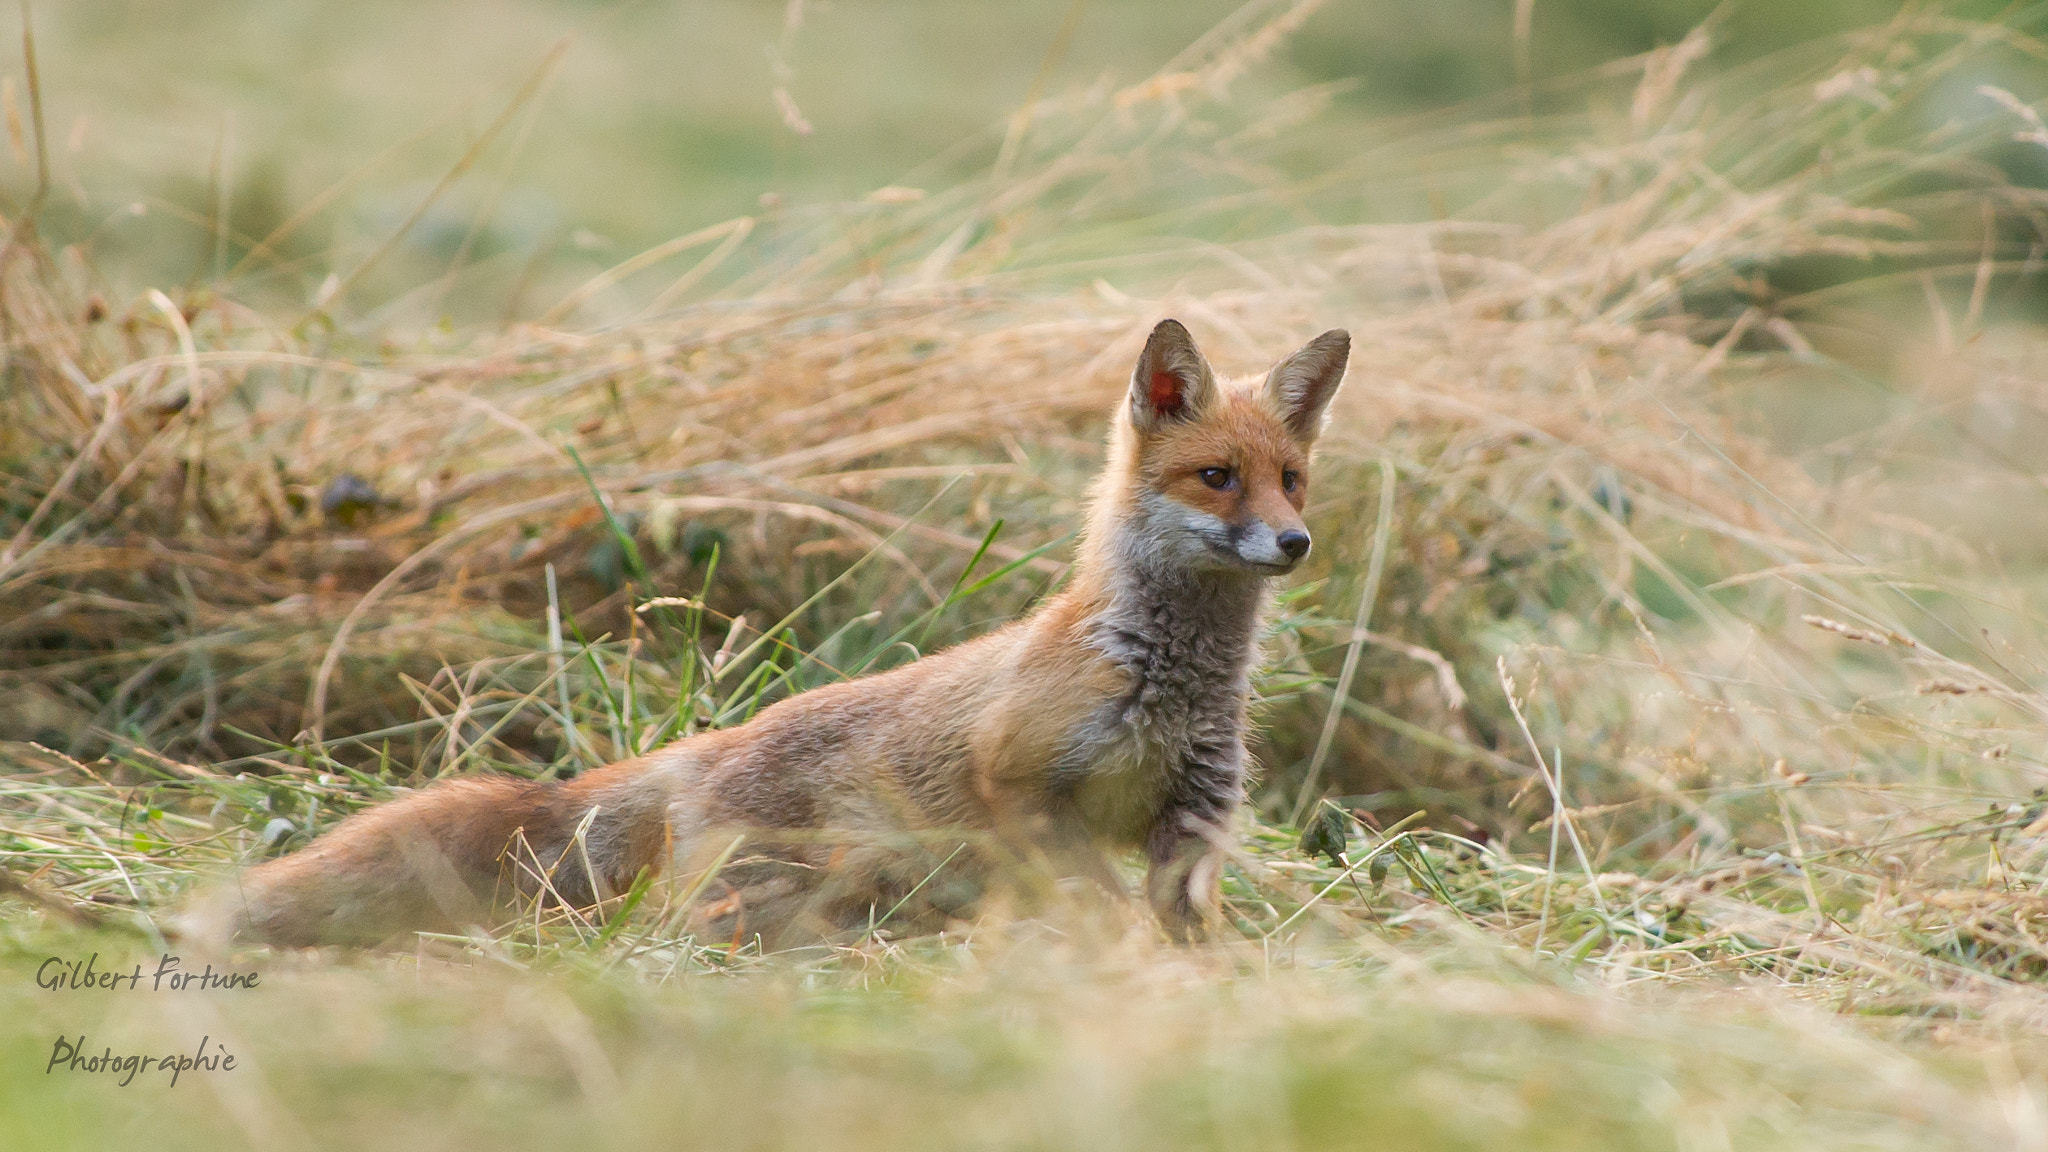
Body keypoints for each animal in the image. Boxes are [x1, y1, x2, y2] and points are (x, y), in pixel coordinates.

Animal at [190, 319, 1350, 949]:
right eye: (1216, 477)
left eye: (1291, 479)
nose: (1293, 542)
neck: (1160, 672)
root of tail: (694, 749)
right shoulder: (1021, 789)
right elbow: (1101, 904)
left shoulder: (1191, 820)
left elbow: (1181, 924)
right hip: (793, 881)